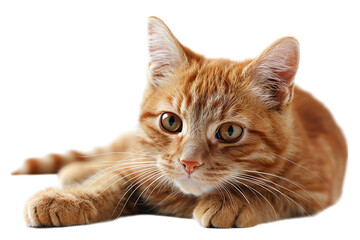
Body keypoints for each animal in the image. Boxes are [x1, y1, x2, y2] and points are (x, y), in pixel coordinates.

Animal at [12, 16, 348, 227]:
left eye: (230, 131)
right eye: (170, 123)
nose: (189, 163)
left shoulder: (315, 188)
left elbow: (271, 190)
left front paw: (234, 201)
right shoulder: (141, 166)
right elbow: (112, 178)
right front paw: (72, 197)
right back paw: (77, 170)